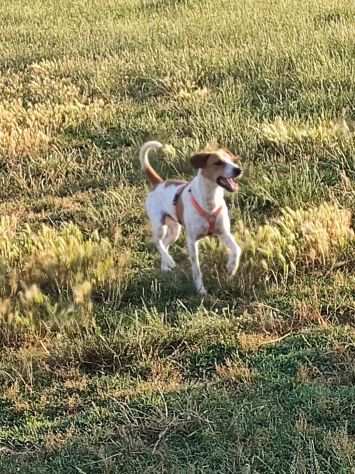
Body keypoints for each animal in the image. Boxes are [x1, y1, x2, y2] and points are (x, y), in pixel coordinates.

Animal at [140, 139, 243, 294]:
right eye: (218, 162)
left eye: (231, 160)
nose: (238, 170)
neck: (210, 200)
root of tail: (159, 183)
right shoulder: (192, 241)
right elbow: (197, 269)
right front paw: (200, 290)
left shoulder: (223, 232)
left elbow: (237, 249)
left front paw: (232, 267)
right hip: (159, 225)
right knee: (157, 242)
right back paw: (169, 260)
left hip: (174, 230)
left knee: (164, 243)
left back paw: (165, 265)